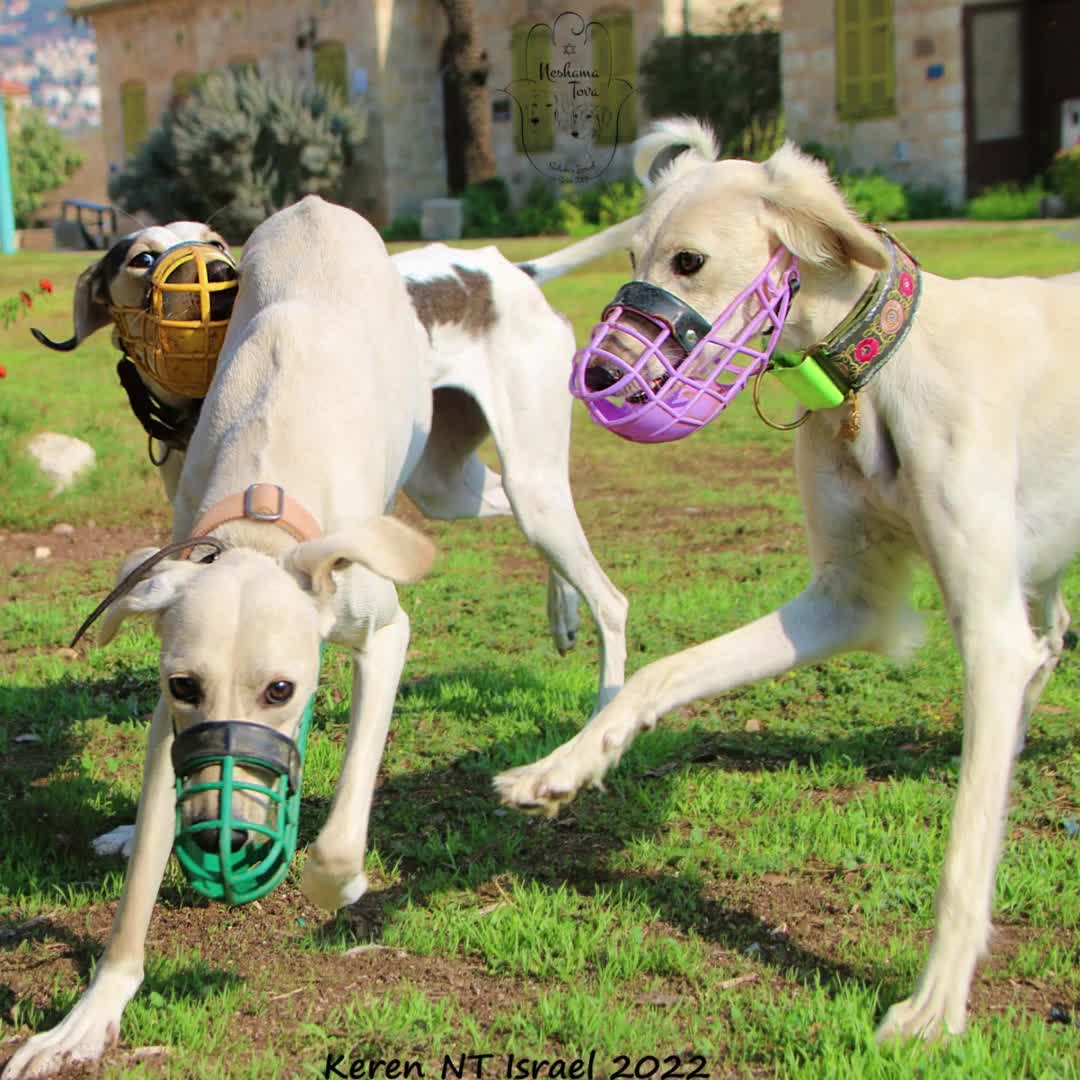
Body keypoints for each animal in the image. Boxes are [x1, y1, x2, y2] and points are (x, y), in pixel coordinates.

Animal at [494, 122, 1080, 1041]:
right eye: (631, 253)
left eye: (689, 262)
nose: (597, 381)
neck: (877, 377)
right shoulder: (847, 600)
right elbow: (661, 673)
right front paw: (562, 768)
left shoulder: (985, 632)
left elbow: (965, 846)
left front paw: (935, 1002)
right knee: (1049, 640)